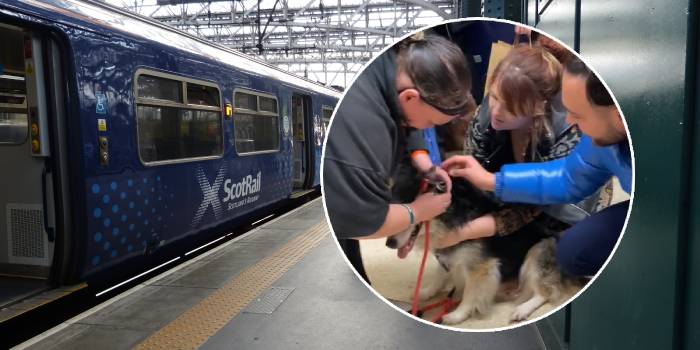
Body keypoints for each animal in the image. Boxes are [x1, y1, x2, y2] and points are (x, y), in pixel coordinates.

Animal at [386, 168, 588, 324]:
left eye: (413, 211)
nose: (388, 243)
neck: (453, 217)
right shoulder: (446, 256)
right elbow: (439, 275)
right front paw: (426, 292)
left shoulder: (481, 268)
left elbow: (470, 294)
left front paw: (457, 315)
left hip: (538, 251)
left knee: (546, 292)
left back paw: (522, 309)